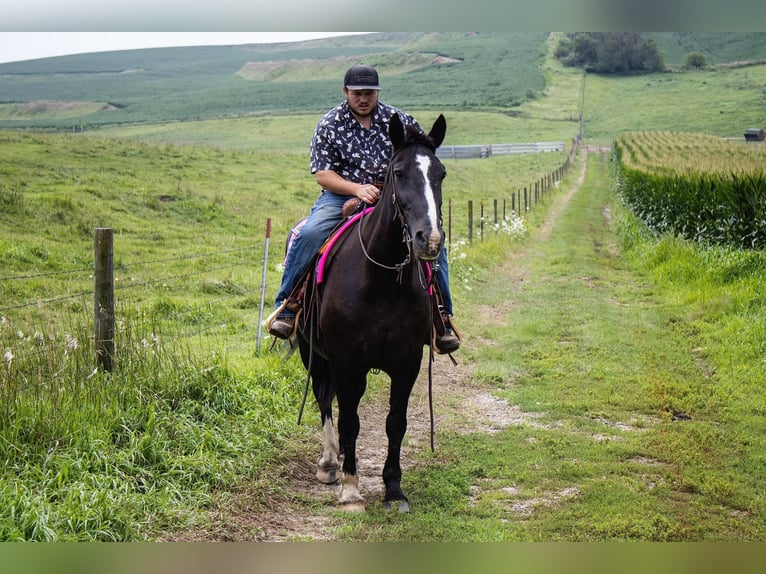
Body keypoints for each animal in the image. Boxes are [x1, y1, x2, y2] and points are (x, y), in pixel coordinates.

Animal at [297, 113, 447, 512]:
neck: (381, 280)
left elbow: (396, 422)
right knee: (324, 399)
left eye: (440, 173)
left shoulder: (407, 361)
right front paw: (350, 488)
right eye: (398, 172)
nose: (430, 240)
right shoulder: (345, 359)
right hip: (313, 353)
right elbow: (349, 421)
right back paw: (330, 464)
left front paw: (393, 489)